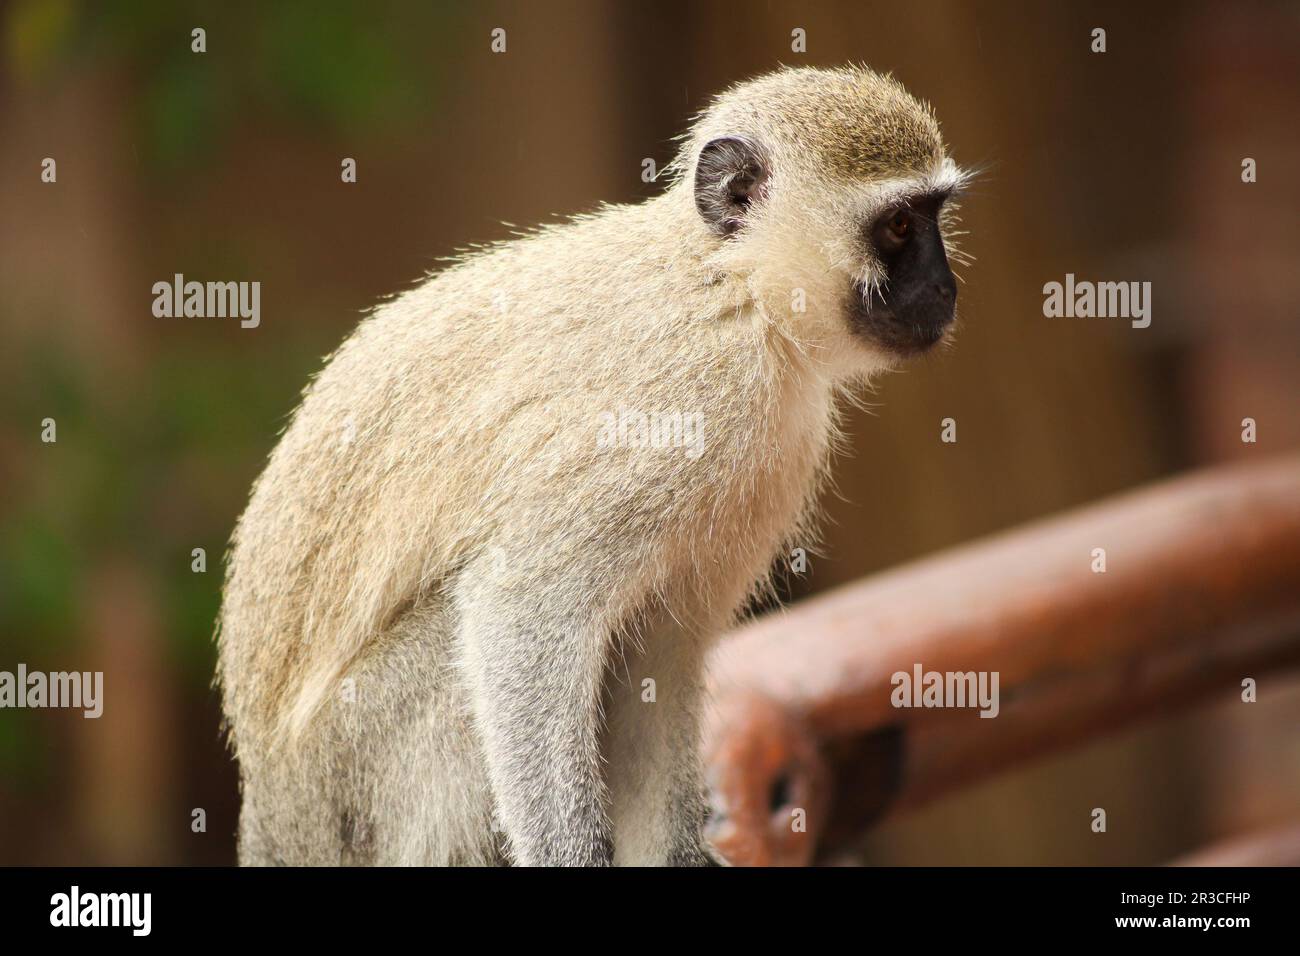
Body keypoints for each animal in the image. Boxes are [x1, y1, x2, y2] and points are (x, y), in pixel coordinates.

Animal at [216, 65, 970, 866]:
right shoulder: (678, 407)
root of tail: (272, 809)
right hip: (350, 776)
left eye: (933, 216)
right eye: (899, 227)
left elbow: (659, 654)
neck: (734, 291)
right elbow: (522, 606)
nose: (945, 288)